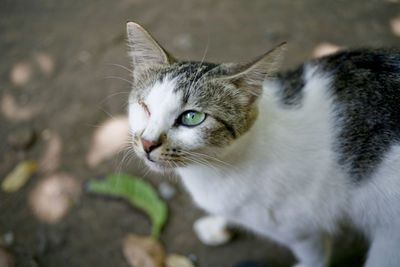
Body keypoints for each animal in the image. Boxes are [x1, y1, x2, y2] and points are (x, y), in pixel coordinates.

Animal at [126, 21, 400, 267]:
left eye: (192, 118)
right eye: (144, 107)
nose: (147, 143)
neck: (215, 168)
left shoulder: (301, 228)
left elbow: (316, 258)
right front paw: (218, 223)